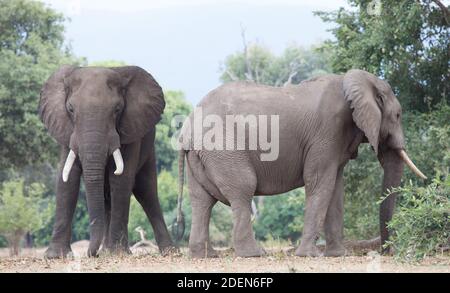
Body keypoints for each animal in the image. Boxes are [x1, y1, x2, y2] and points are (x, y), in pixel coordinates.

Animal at [39, 65, 174, 256]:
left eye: (117, 109)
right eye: (70, 109)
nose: (91, 254)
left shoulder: (130, 129)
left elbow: (121, 179)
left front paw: (118, 254)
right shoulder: (66, 130)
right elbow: (67, 181)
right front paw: (55, 256)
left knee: (146, 191)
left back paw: (169, 252)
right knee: (108, 197)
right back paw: (105, 252)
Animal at [176, 68, 426, 256]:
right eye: (398, 116)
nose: (386, 252)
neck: (355, 80)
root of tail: (186, 128)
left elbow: (335, 188)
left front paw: (338, 255)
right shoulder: (327, 132)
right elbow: (319, 182)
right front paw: (310, 255)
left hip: (202, 156)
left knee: (202, 201)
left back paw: (205, 255)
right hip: (223, 148)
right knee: (243, 190)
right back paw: (254, 254)